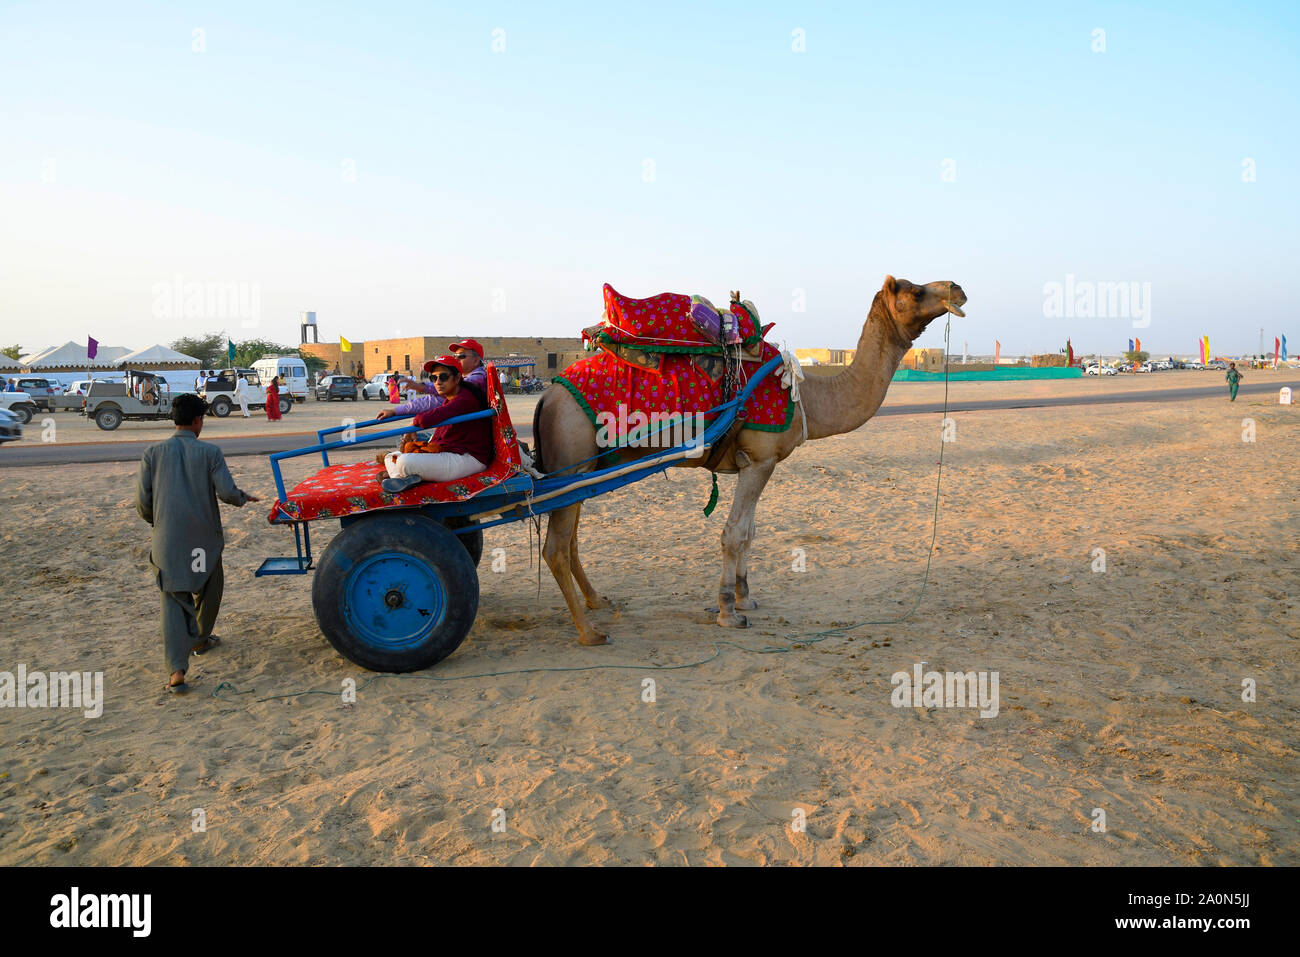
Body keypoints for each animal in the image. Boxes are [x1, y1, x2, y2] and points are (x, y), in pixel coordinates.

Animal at [527, 274, 967, 642]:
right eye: (915, 291)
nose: (958, 289)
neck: (806, 398)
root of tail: (548, 395)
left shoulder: (753, 463)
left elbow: (750, 532)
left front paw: (744, 597)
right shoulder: (760, 460)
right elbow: (734, 534)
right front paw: (728, 612)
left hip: (584, 469)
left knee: (571, 540)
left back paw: (597, 602)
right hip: (573, 452)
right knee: (555, 547)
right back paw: (589, 632)